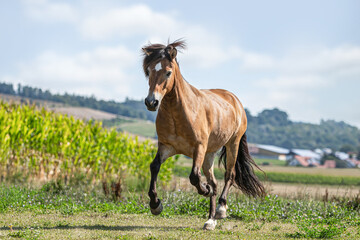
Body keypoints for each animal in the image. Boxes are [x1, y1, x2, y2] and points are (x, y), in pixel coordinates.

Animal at [142, 39, 266, 231]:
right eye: (148, 71)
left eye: (168, 72)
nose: (151, 102)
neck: (179, 113)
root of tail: (235, 100)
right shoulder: (166, 147)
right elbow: (154, 167)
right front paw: (156, 205)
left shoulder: (198, 148)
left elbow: (194, 176)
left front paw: (205, 190)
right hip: (210, 154)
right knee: (214, 181)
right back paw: (210, 220)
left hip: (232, 144)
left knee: (229, 175)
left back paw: (221, 209)